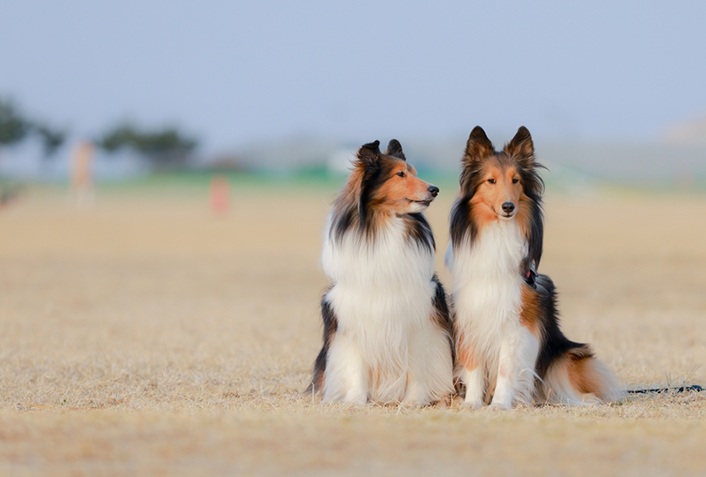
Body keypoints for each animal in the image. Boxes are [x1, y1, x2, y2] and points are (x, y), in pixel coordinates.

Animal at [306, 139, 452, 406]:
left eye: (414, 172)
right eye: (400, 174)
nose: (435, 189)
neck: (385, 224)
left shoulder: (419, 318)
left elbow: (418, 368)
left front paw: (413, 401)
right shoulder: (352, 319)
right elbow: (355, 367)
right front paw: (355, 402)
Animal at [448, 126, 620, 410]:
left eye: (516, 180)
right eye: (490, 181)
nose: (508, 207)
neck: (499, 233)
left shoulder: (517, 322)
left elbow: (506, 367)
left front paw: (499, 404)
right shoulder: (471, 316)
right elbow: (473, 366)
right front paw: (472, 403)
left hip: (567, 355)